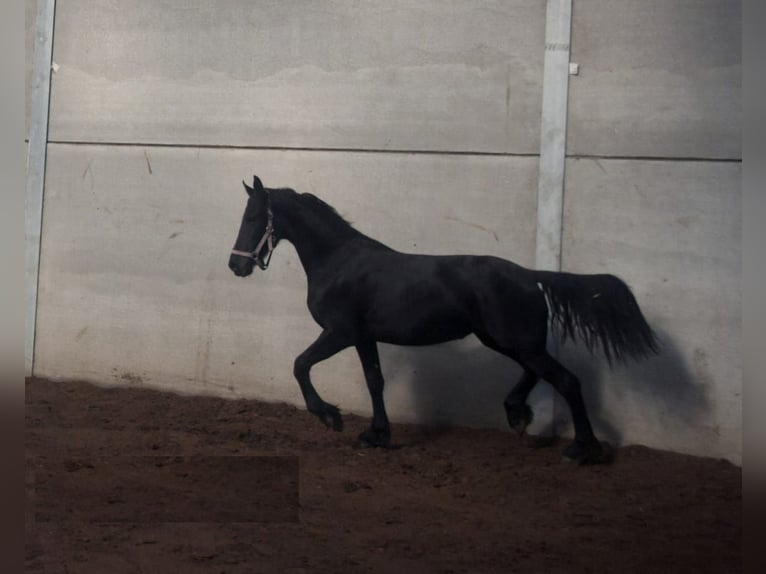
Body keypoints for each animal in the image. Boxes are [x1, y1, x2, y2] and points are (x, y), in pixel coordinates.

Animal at [228, 176, 658, 464]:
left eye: (254, 217)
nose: (236, 265)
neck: (339, 262)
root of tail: (531, 276)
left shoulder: (340, 333)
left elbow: (300, 364)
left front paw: (330, 416)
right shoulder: (364, 337)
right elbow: (374, 382)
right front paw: (376, 435)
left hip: (515, 341)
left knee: (567, 380)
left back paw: (582, 449)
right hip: (504, 340)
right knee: (537, 373)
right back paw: (517, 412)